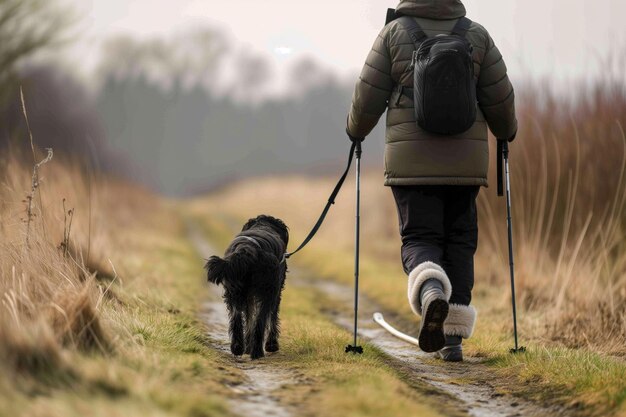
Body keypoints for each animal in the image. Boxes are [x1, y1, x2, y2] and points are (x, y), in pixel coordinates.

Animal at [205, 214, 288, 358]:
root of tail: (246, 251)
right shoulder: (275, 292)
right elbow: (271, 317)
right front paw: (271, 345)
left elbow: (249, 318)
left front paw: (248, 346)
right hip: (267, 292)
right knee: (261, 320)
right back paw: (257, 351)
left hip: (234, 292)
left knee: (237, 318)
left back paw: (237, 347)